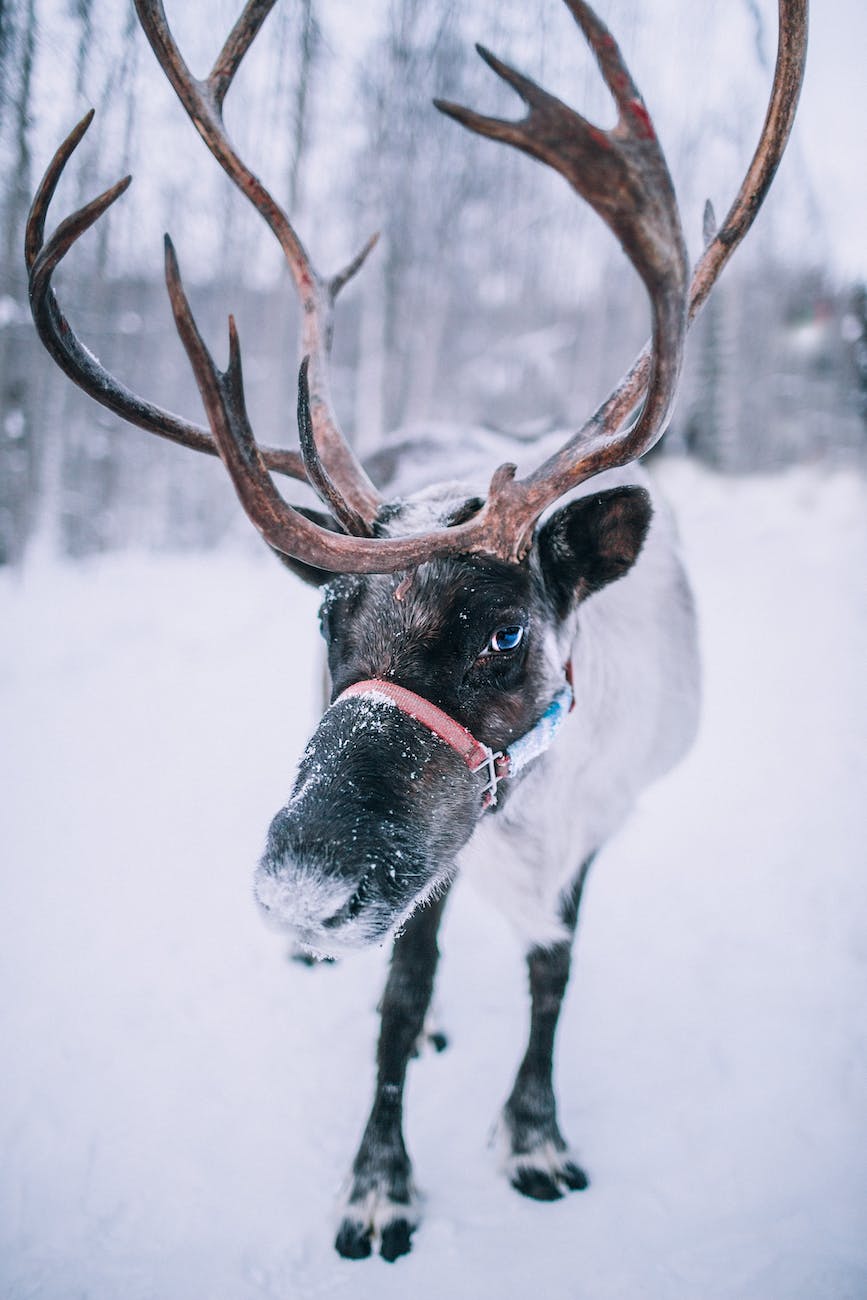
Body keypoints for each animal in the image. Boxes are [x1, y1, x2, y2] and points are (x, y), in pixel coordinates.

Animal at [27, 0, 806, 1264]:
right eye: (328, 614)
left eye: (502, 634)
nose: (298, 887)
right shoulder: (424, 863)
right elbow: (404, 995)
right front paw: (379, 1186)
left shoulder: (591, 829)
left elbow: (554, 972)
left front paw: (534, 1138)